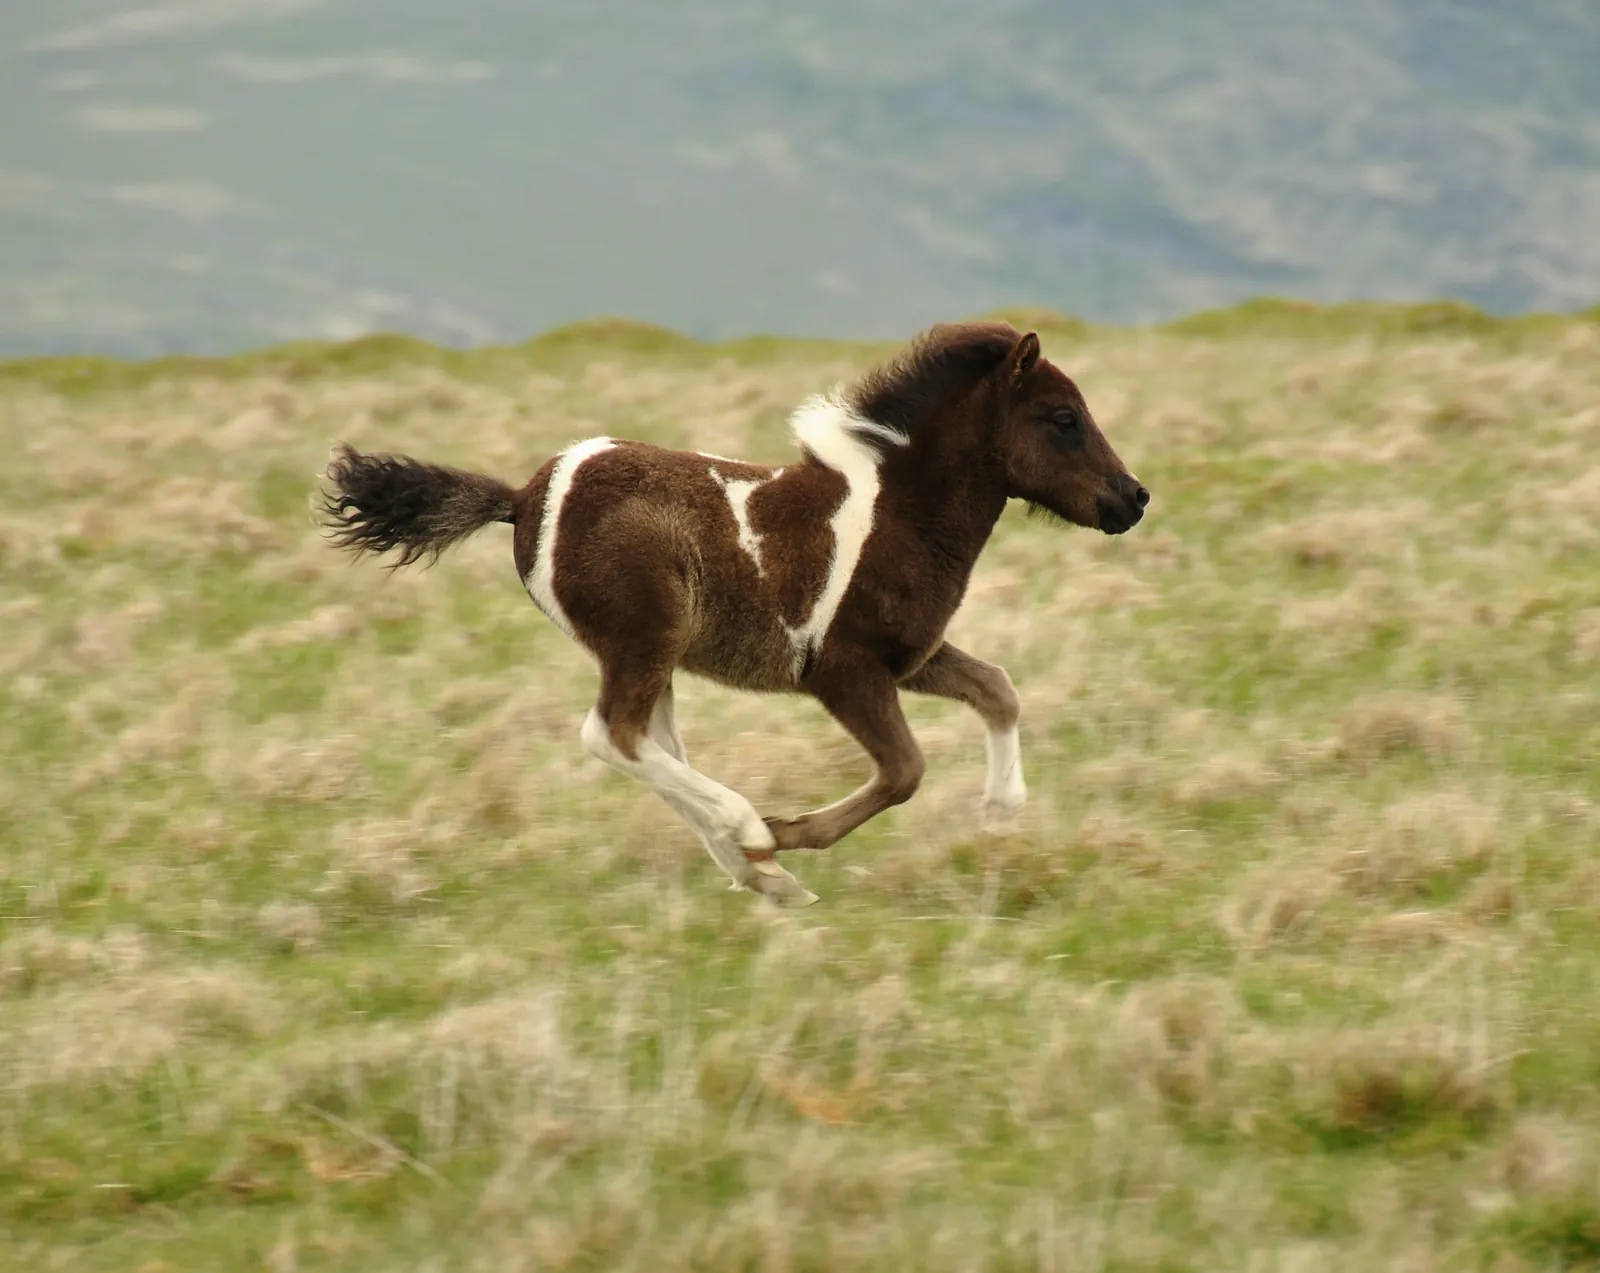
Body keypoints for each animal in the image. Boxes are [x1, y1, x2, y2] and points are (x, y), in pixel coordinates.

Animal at [319, 321, 1149, 907]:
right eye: (1063, 417)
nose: (1133, 498)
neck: (899, 515)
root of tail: (525, 498)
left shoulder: (911, 658)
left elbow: (998, 688)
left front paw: (1003, 813)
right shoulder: (844, 670)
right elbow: (905, 770)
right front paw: (790, 830)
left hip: (653, 651)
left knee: (654, 744)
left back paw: (759, 871)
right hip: (644, 638)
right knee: (613, 734)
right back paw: (752, 834)